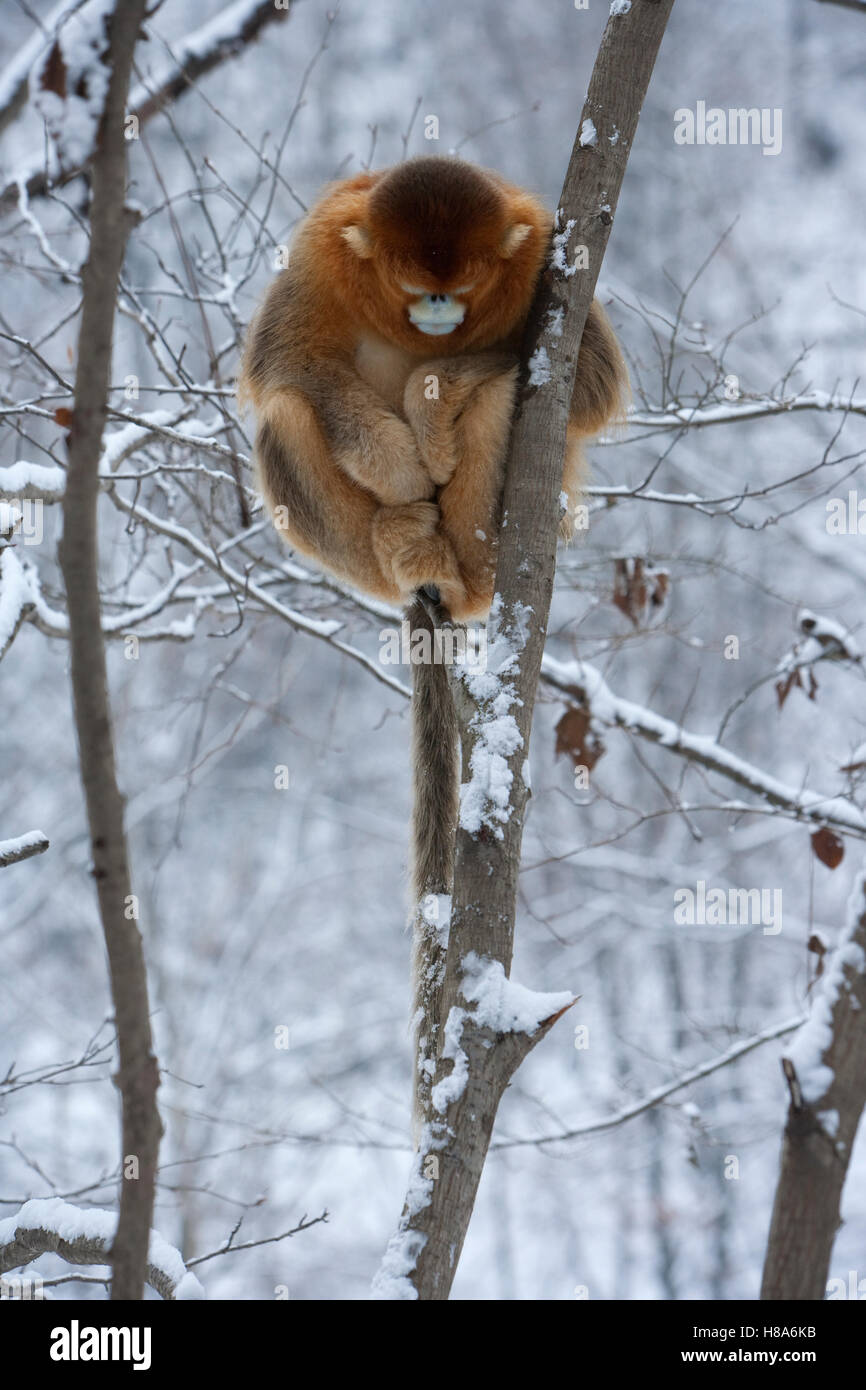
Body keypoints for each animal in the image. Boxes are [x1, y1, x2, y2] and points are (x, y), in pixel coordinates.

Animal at [239, 156, 626, 1132]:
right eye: (421, 287)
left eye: (466, 282)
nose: (445, 312)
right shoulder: (318, 254)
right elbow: (283, 369)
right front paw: (395, 456)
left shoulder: (550, 262)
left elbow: (588, 384)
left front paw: (434, 398)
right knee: (286, 416)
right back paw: (405, 540)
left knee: (509, 397)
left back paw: (462, 556)